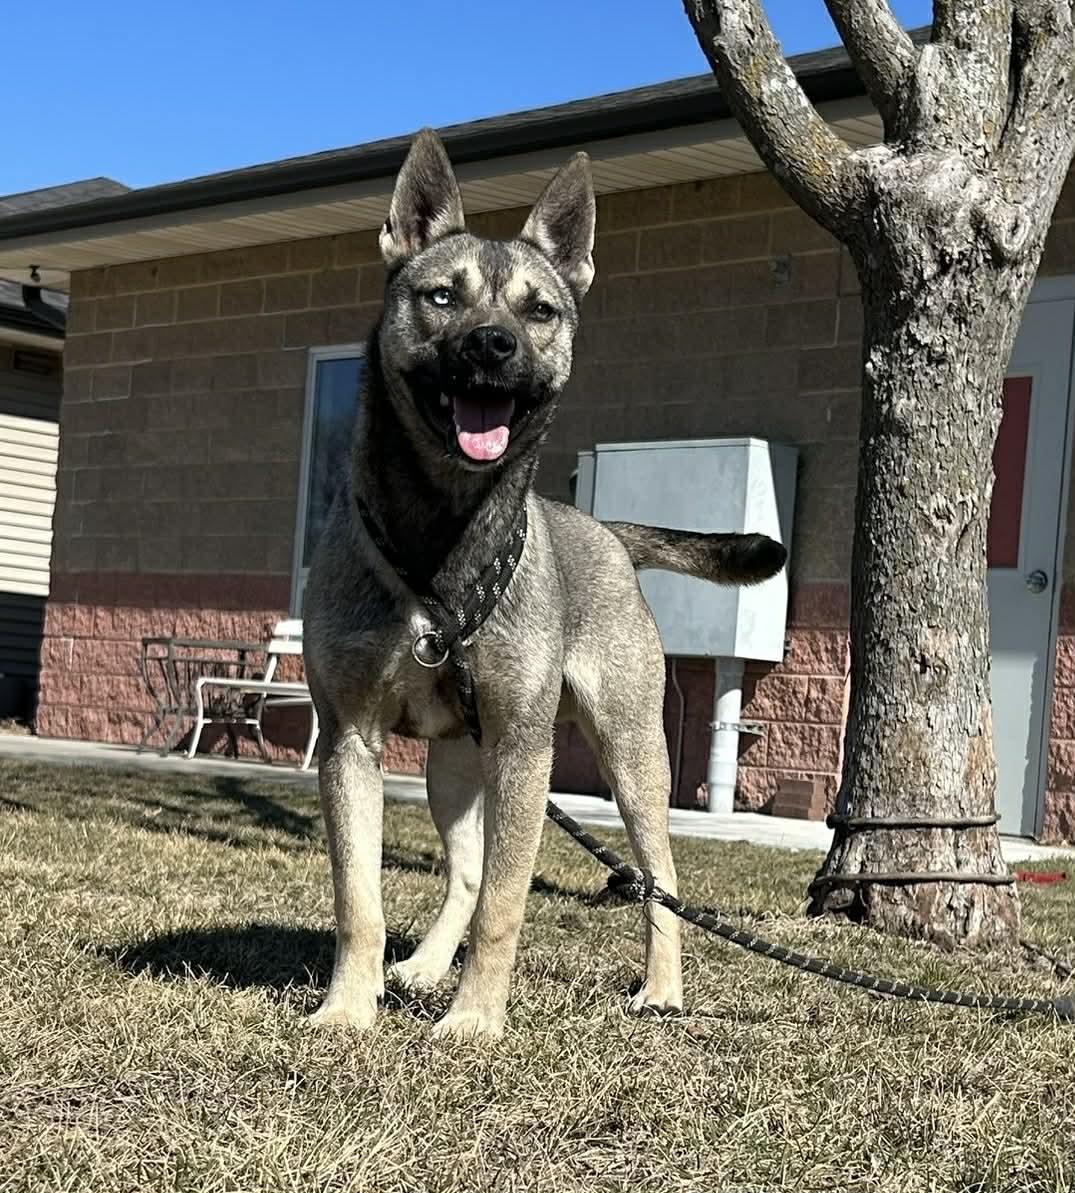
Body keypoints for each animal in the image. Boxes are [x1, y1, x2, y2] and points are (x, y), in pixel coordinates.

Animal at [302, 129, 787, 1038]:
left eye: (539, 312)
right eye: (441, 297)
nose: (492, 346)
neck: (441, 541)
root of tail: (606, 532)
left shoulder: (524, 750)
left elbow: (504, 901)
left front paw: (475, 1020)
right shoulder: (350, 739)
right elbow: (361, 898)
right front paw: (350, 1005)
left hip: (629, 747)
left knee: (660, 879)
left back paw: (660, 988)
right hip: (454, 757)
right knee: (461, 870)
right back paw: (423, 967)